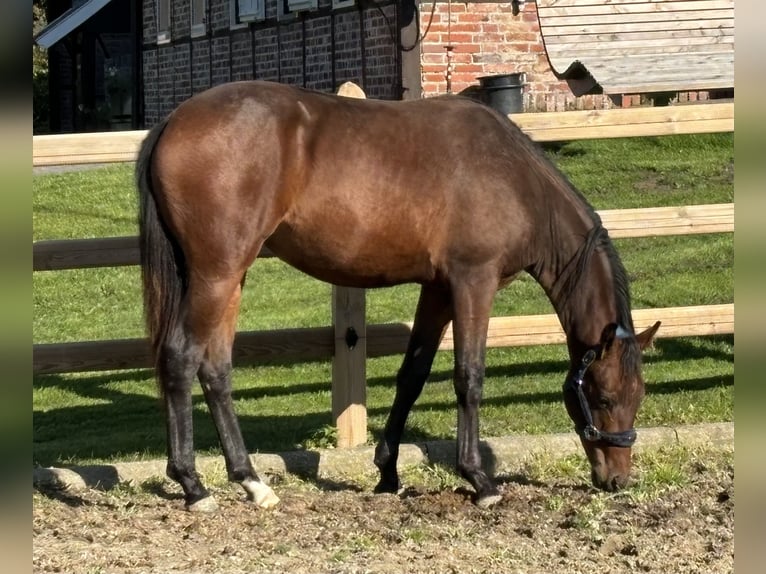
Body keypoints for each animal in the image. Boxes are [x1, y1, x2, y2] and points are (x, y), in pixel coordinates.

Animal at [136, 81, 660, 512]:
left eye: (640, 394)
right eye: (605, 395)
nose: (618, 480)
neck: (515, 179)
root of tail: (173, 121)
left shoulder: (438, 290)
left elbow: (412, 376)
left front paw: (387, 473)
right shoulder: (474, 282)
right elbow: (469, 377)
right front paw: (480, 480)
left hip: (231, 276)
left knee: (216, 370)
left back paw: (251, 482)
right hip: (216, 273)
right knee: (181, 358)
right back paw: (193, 486)